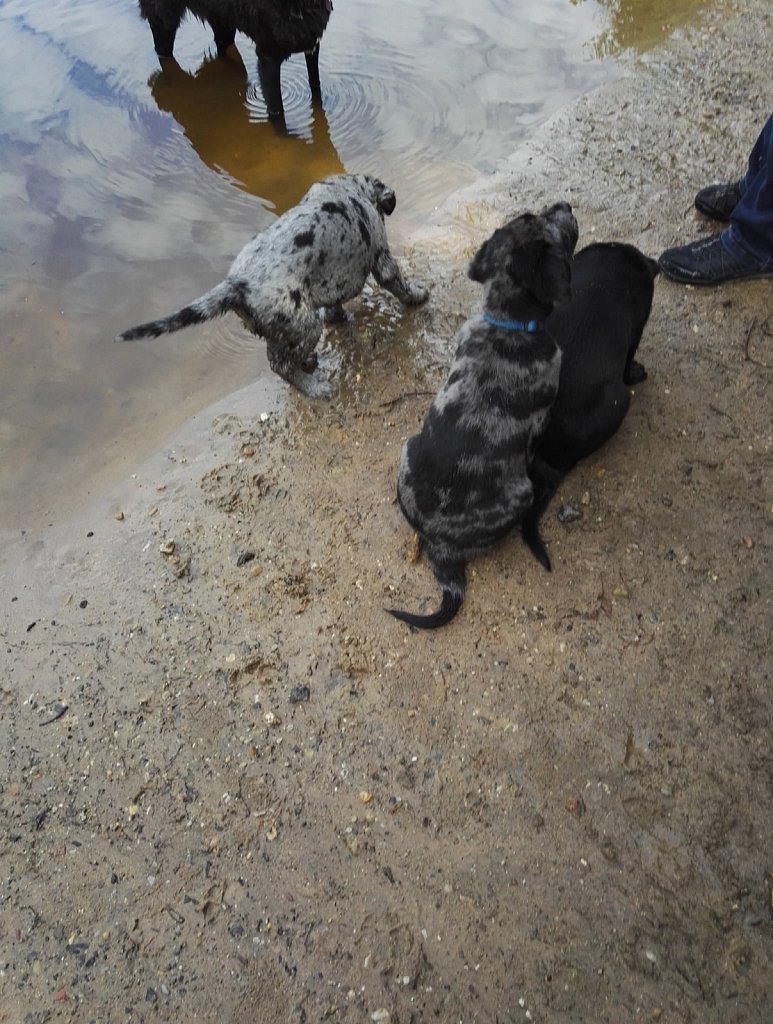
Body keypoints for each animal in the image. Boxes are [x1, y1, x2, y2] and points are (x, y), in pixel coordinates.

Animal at [115, 174, 430, 397]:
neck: (348, 189)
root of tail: (237, 284)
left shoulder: (332, 279)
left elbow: (334, 304)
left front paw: (339, 317)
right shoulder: (382, 258)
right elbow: (399, 284)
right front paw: (419, 296)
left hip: (284, 326)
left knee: (282, 355)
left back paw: (308, 363)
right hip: (303, 323)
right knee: (280, 365)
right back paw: (315, 386)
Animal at [137, 0, 331, 116]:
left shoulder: (313, 46)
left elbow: (316, 86)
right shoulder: (268, 58)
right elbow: (277, 112)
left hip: (223, 23)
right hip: (163, 21)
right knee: (163, 55)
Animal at [389, 200, 577, 626]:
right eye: (541, 222)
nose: (563, 204)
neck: (508, 324)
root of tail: (440, 547)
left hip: (407, 447)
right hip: (520, 492)